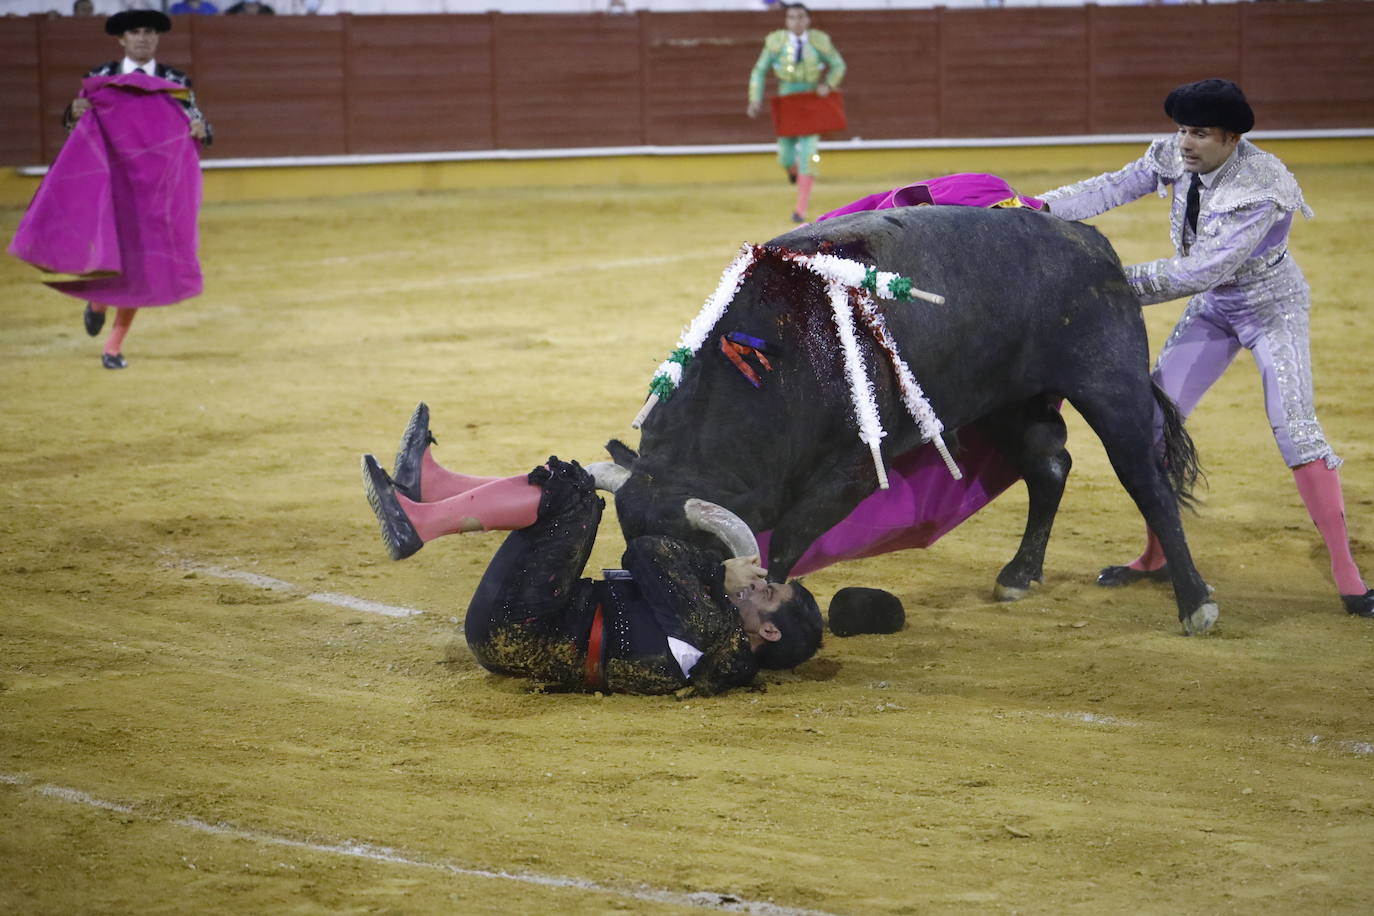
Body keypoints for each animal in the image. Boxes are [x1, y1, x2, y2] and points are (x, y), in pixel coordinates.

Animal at [618, 205, 1220, 637]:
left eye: (696, 567)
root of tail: (1090, 241)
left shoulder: (855, 471)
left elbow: (787, 540)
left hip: (1109, 385)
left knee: (1147, 483)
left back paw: (1196, 604)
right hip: (998, 401)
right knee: (1049, 467)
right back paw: (1018, 575)